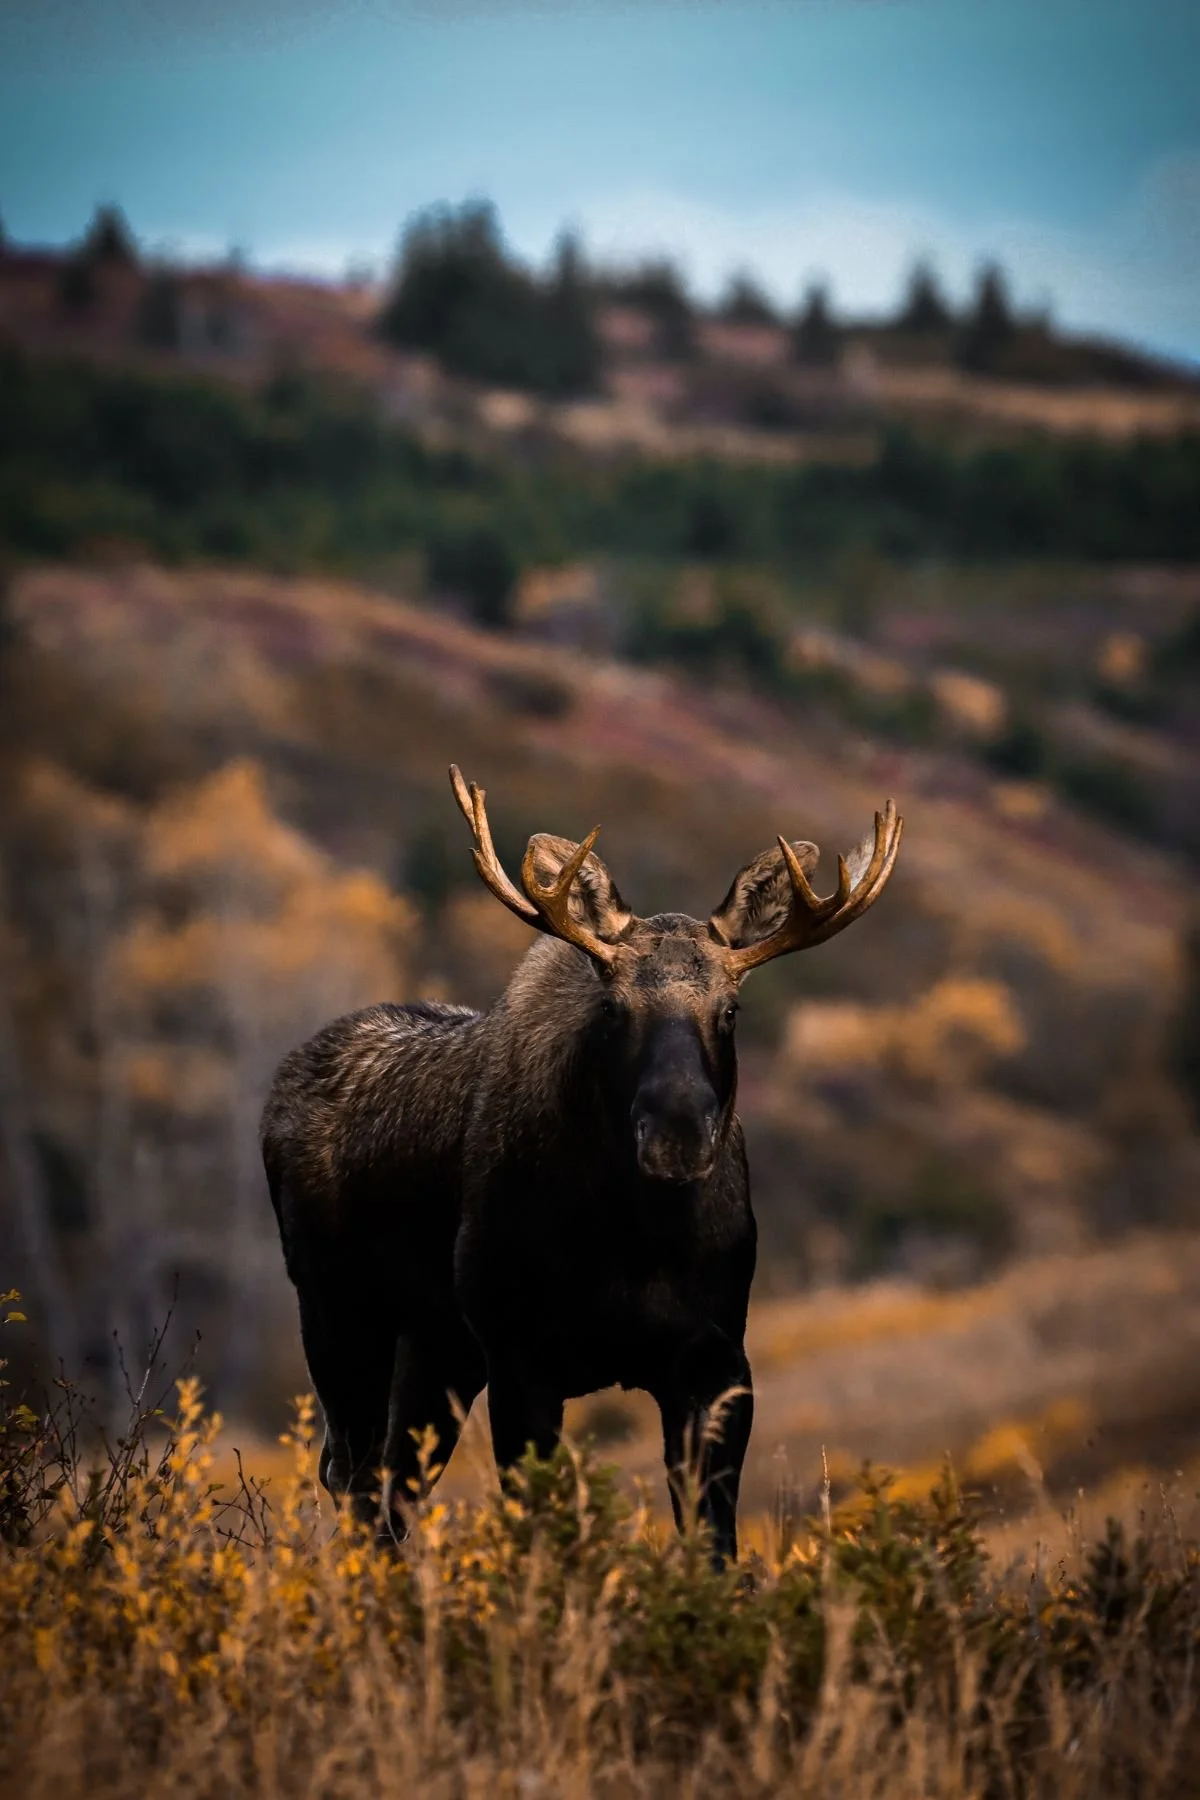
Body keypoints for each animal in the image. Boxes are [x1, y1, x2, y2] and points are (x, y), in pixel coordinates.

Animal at [262, 766, 903, 1566]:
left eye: (730, 1010)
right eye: (613, 1008)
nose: (676, 1134)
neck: (637, 1240)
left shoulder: (717, 1360)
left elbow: (714, 1546)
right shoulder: (521, 1355)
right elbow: (539, 1534)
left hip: (437, 1347)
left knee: (392, 1480)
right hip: (337, 1310)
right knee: (352, 1473)